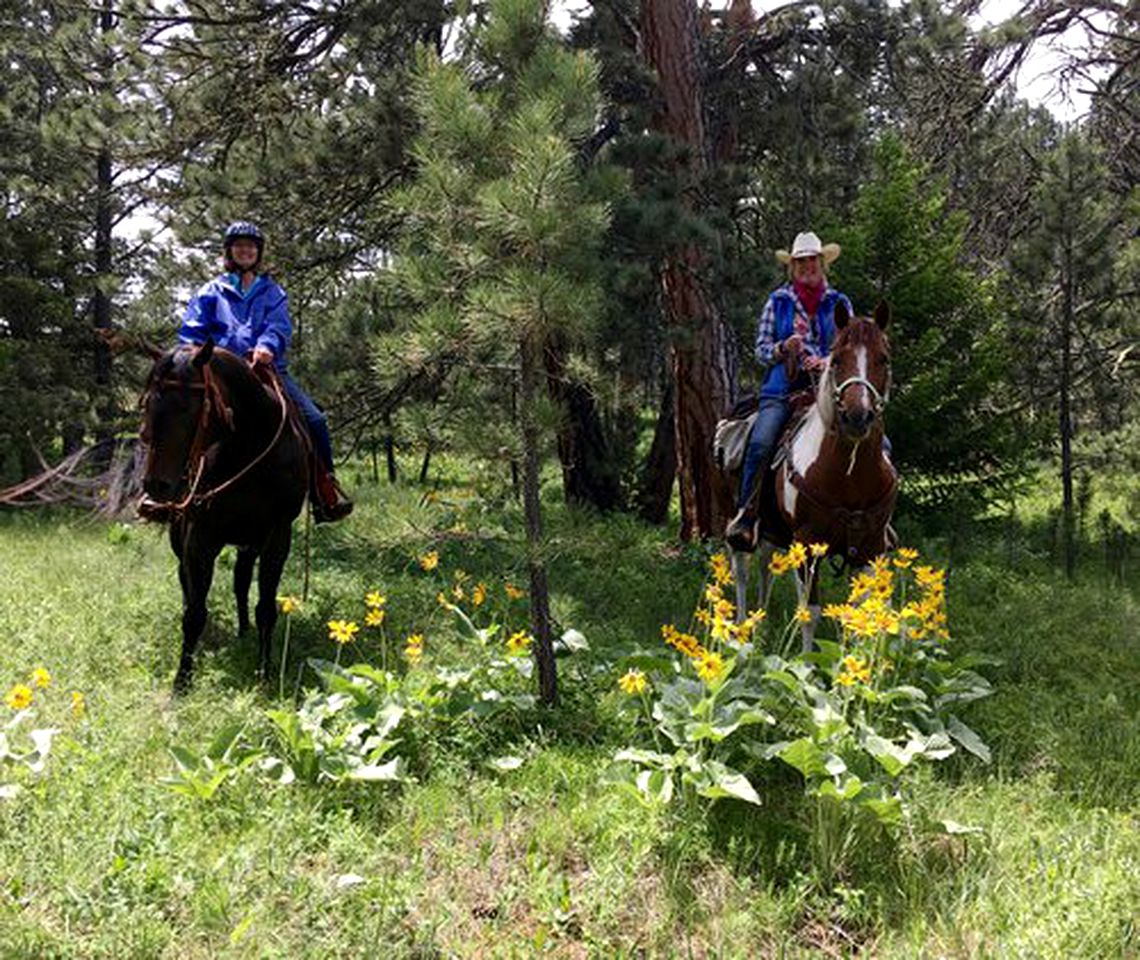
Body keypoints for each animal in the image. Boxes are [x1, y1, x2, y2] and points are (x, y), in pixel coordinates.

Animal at [138, 339, 307, 693]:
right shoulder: (200, 538)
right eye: (147, 405)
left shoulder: (277, 536)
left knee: (241, 580)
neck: (247, 447)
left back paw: (244, 631)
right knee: (188, 586)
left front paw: (264, 674)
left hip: (250, 542)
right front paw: (182, 680)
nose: (157, 485)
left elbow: (266, 608)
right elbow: (194, 613)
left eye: (188, 408)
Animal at [729, 298, 898, 643]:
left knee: (765, 563)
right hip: (739, 514)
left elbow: (861, 613)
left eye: (883, 359)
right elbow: (810, 612)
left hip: (773, 525)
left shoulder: (870, 547)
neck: (848, 476)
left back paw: (760, 625)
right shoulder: (807, 543)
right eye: (837, 359)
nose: (857, 417)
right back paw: (741, 629)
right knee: (741, 564)